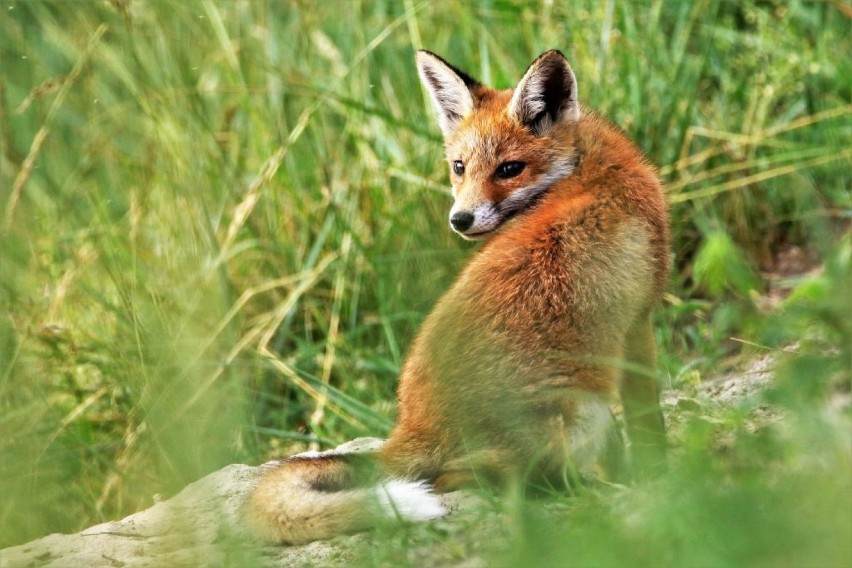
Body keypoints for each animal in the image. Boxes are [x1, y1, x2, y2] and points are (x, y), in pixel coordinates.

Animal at [246, 47, 672, 540]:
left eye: (510, 169)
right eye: (459, 167)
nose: (460, 219)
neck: (587, 167)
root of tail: (415, 424)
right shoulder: (636, 324)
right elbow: (648, 423)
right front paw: (662, 479)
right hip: (586, 409)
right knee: (460, 477)